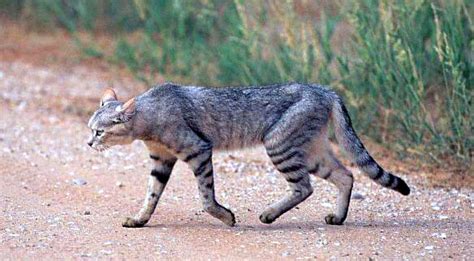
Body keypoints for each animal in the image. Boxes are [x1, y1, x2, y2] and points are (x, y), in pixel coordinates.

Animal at [87, 82, 410, 226]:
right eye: (90, 128)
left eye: (99, 132)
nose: (89, 143)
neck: (148, 120)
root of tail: (324, 89)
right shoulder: (161, 159)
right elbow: (152, 194)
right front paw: (140, 219)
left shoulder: (198, 150)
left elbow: (206, 198)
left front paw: (225, 216)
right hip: (311, 150)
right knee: (345, 175)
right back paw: (338, 217)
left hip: (279, 144)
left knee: (305, 187)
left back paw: (269, 214)